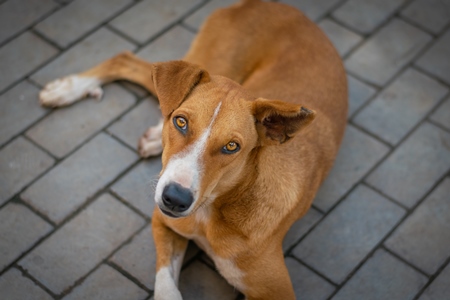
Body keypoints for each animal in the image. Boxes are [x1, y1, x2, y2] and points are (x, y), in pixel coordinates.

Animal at [39, 0, 348, 300]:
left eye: (232, 146)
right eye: (181, 122)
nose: (175, 199)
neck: (211, 213)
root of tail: (276, 5)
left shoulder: (275, 291)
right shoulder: (162, 221)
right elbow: (165, 287)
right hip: (213, 64)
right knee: (127, 59)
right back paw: (67, 89)